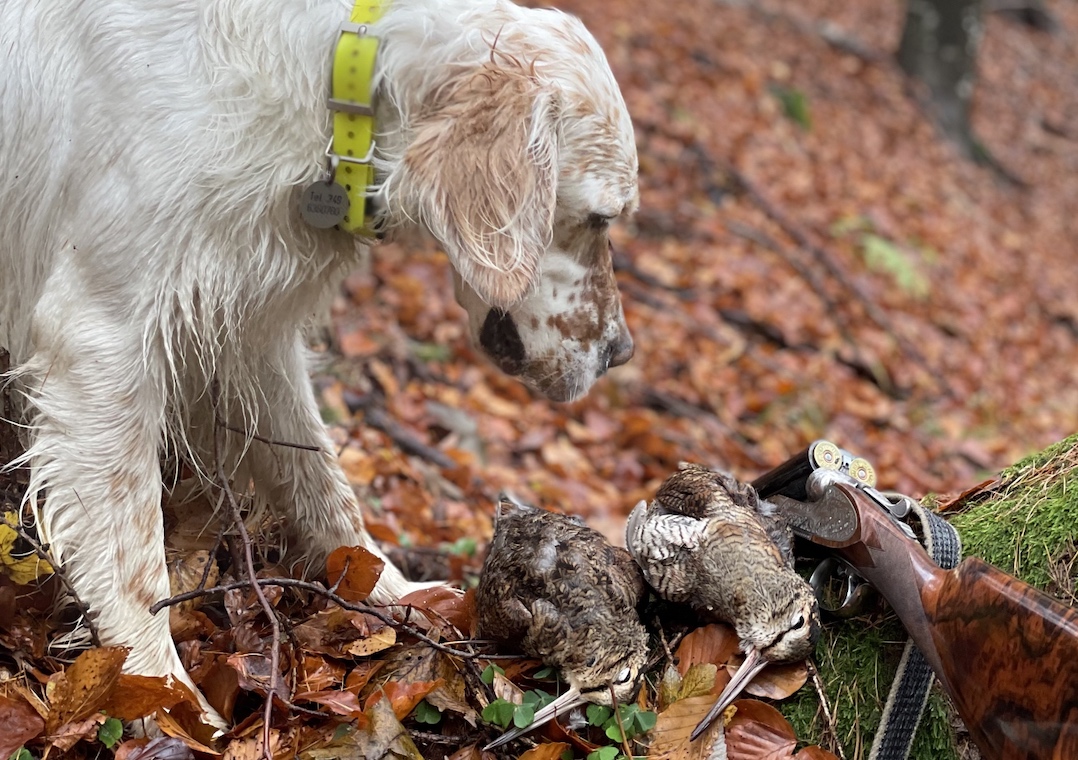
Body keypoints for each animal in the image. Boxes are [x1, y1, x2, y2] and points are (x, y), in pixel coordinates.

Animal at [0, 0, 633, 724]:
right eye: (602, 218)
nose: (621, 352)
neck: (331, 79)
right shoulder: (101, 332)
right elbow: (133, 559)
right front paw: (165, 698)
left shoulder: (248, 331)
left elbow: (323, 483)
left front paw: (402, 596)